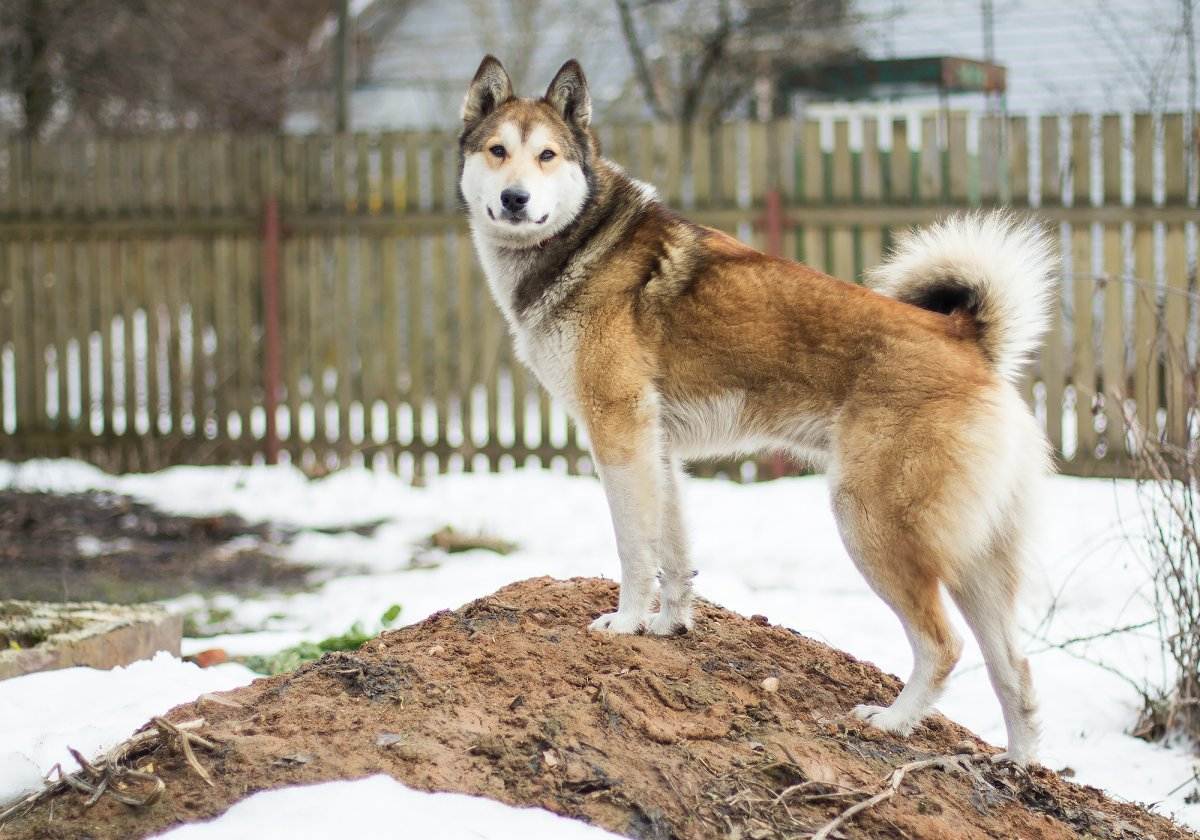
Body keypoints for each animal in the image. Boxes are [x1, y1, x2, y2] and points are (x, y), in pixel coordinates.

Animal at [458, 54, 1060, 768]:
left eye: (547, 155)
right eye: (498, 151)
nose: (515, 199)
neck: (584, 245)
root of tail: (966, 338)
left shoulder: (619, 436)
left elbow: (634, 550)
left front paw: (627, 623)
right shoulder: (658, 451)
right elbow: (673, 554)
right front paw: (668, 626)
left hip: (872, 524)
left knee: (944, 646)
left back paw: (892, 720)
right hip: (975, 560)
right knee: (1016, 671)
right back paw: (1019, 763)